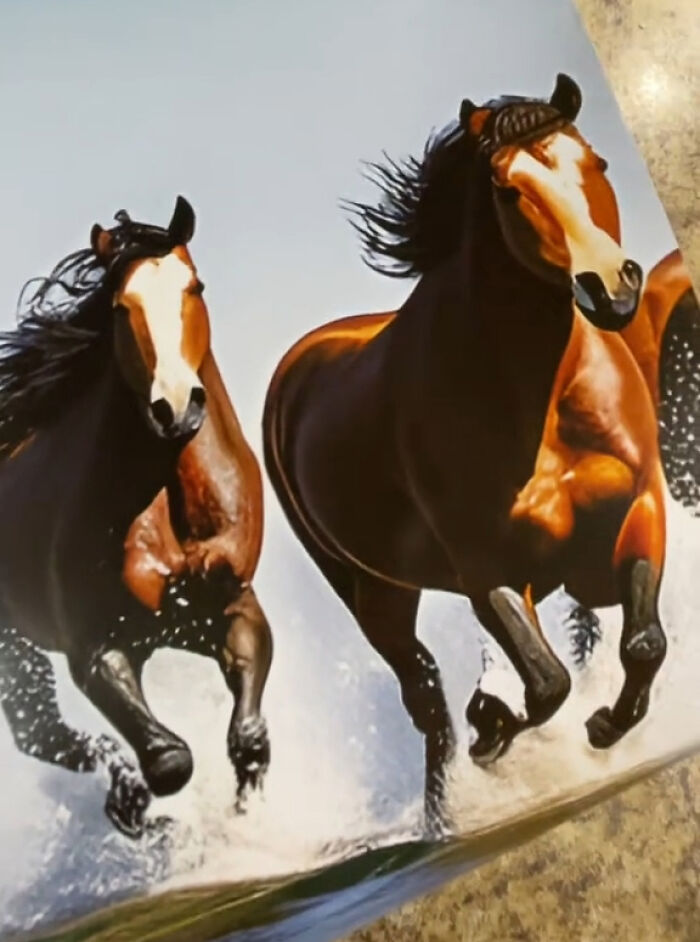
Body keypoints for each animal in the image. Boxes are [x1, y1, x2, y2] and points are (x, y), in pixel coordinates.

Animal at [0, 197, 272, 838]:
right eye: (122, 306)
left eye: (194, 287)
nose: (175, 407)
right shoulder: (97, 648)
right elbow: (170, 761)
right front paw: (153, 816)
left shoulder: (225, 607)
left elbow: (248, 739)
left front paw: (249, 822)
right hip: (12, 647)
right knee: (42, 735)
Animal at [263, 74, 666, 830]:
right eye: (508, 190)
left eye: (595, 162)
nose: (611, 287)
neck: (536, 398)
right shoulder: (487, 569)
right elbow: (545, 685)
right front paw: (492, 725)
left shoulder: (639, 506)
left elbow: (641, 642)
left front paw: (604, 728)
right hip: (375, 596)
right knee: (425, 701)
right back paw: (444, 812)